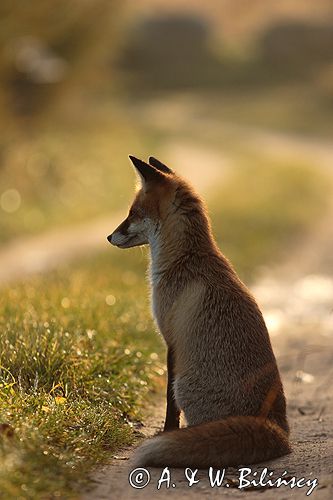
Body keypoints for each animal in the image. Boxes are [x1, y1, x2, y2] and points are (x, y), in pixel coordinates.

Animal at [107, 156, 290, 468]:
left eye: (133, 213)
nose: (109, 237)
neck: (184, 259)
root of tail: (277, 427)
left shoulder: (171, 341)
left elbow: (170, 404)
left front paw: (167, 432)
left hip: (185, 383)